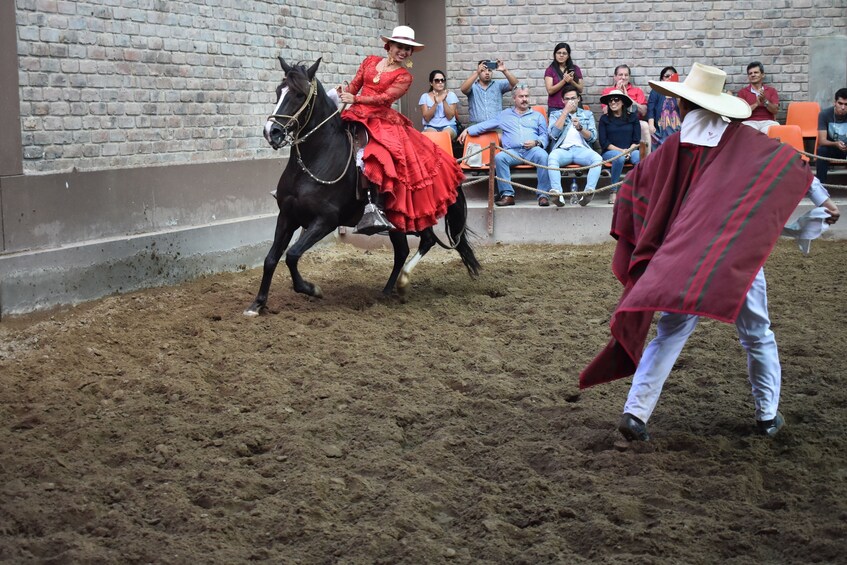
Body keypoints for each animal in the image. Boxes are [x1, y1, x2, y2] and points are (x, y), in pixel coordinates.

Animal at [245, 58, 480, 318]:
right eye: (279, 91)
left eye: (299, 94)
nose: (272, 132)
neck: (317, 158)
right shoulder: (287, 216)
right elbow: (271, 259)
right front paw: (257, 304)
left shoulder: (325, 220)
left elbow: (292, 255)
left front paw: (312, 289)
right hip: (396, 224)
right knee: (402, 251)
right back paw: (386, 291)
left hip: (416, 217)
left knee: (426, 241)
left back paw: (402, 284)